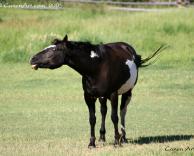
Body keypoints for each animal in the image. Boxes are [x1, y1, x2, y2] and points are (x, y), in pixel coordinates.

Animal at [29, 34, 165, 147]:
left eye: (54, 50)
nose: (32, 59)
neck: (97, 66)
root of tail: (128, 48)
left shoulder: (113, 94)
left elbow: (114, 117)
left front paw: (116, 141)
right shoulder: (89, 97)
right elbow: (92, 119)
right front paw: (92, 143)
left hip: (127, 92)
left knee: (122, 111)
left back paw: (123, 137)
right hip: (102, 97)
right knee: (103, 111)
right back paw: (102, 137)